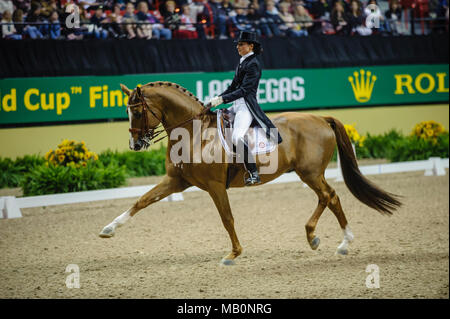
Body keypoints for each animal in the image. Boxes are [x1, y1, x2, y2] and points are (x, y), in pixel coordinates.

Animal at [99, 82, 400, 264]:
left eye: (137, 112)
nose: (135, 145)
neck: (195, 133)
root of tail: (321, 118)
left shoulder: (215, 186)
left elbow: (227, 218)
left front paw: (233, 254)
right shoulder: (177, 181)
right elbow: (141, 201)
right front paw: (108, 229)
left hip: (310, 173)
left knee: (330, 196)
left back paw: (331, 240)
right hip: (310, 173)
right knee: (329, 197)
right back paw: (326, 239)